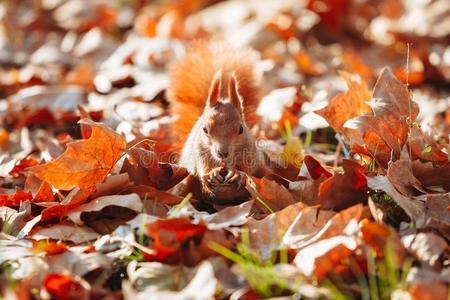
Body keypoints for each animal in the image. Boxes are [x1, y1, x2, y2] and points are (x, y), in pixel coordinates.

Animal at [167, 40, 268, 204]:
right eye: (204, 130)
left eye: (241, 129)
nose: (222, 153)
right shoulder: (200, 149)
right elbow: (203, 164)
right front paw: (211, 173)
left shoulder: (249, 150)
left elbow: (246, 167)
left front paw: (238, 174)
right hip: (185, 182)